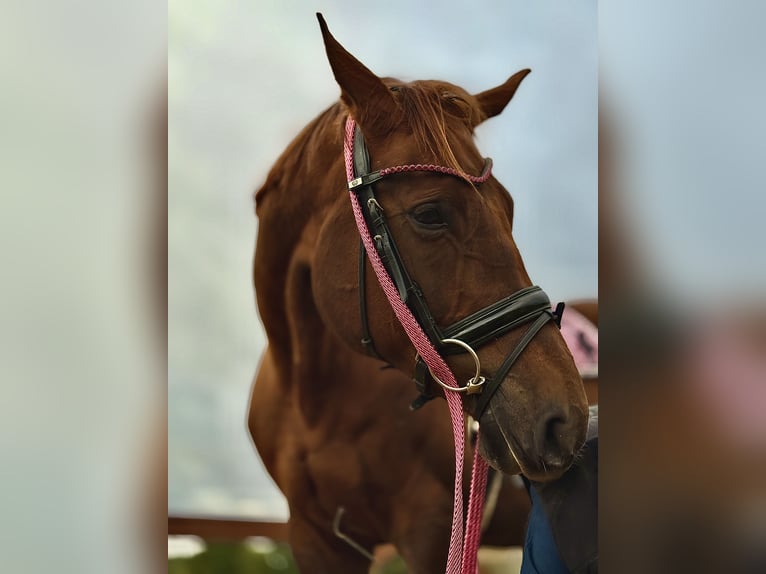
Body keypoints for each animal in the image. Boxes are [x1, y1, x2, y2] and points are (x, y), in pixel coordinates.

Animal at [247, 14, 589, 573]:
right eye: (430, 214)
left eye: (510, 209)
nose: (566, 419)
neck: (321, 404)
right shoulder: (314, 537)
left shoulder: (431, 528)